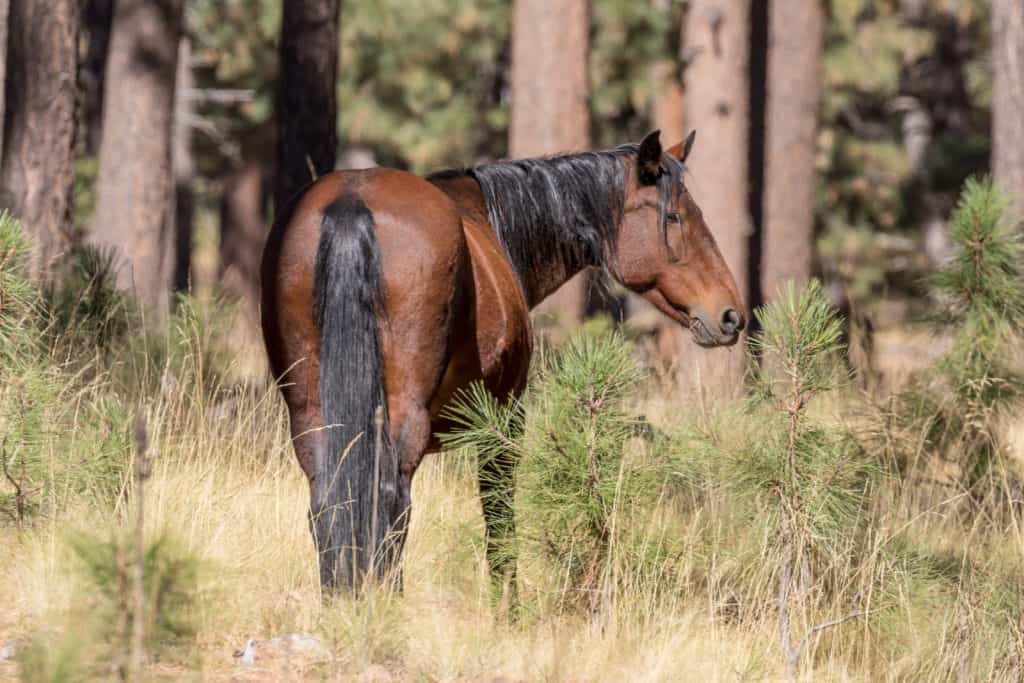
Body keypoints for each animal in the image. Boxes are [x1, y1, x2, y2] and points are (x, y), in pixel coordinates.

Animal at [260, 130, 745, 592]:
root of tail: (351, 203)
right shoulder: (504, 421)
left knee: (331, 503)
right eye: (673, 217)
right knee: (389, 501)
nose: (731, 314)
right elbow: (500, 527)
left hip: (312, 417)